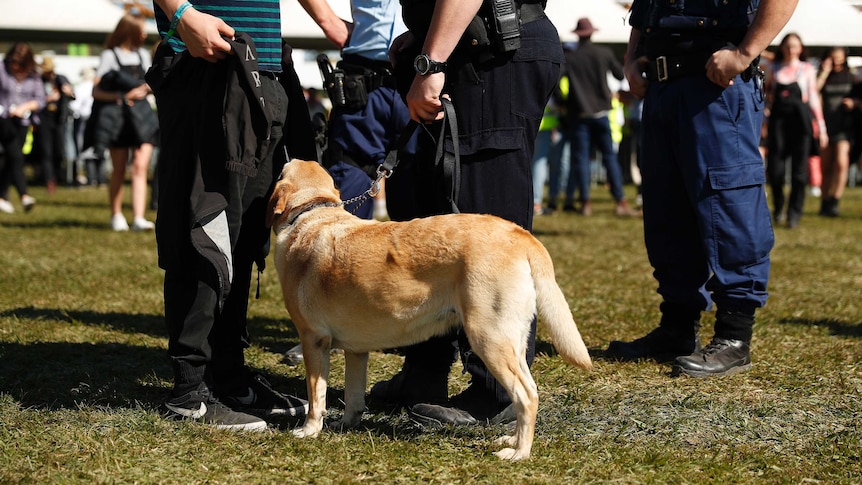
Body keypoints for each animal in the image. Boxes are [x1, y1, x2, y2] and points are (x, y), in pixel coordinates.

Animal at [270, 161, 592, 460]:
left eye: (281, 170)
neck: (312, 213)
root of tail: (521, 234)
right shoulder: (356, 350)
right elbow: (353, 395)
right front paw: (346, 424)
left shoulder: (313, 339)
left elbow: (316, 395)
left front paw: (309, 430)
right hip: (511, 340)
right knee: (527, 391)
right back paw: (511, 440)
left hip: (489, 338)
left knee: (527, 395)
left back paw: (519, 453)